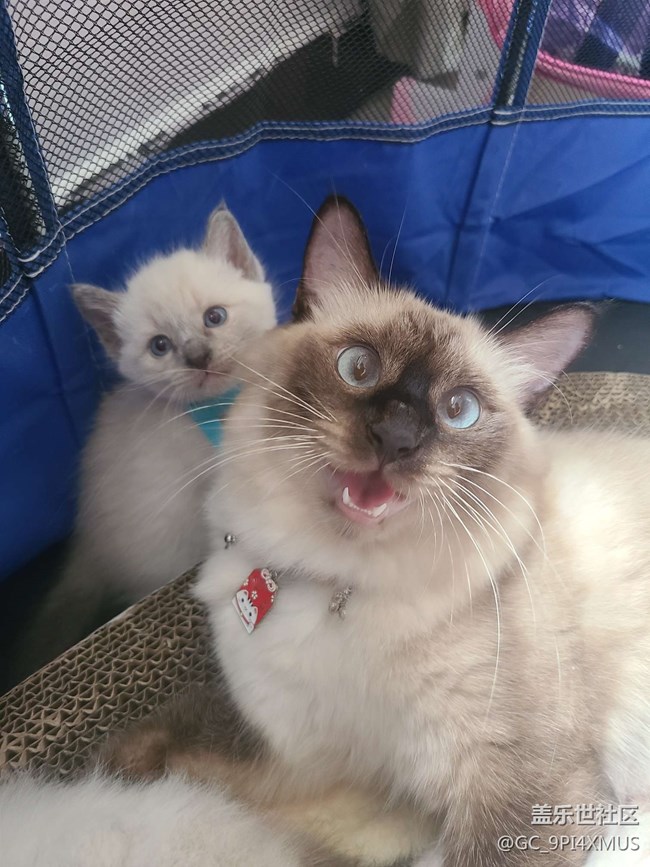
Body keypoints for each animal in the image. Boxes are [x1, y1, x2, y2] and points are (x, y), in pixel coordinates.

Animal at [184, 195, 650, 866]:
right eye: (359, 367)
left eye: (460, 410)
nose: (396, 438)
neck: (340, 586)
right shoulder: (320, 770)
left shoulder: (518, 793)